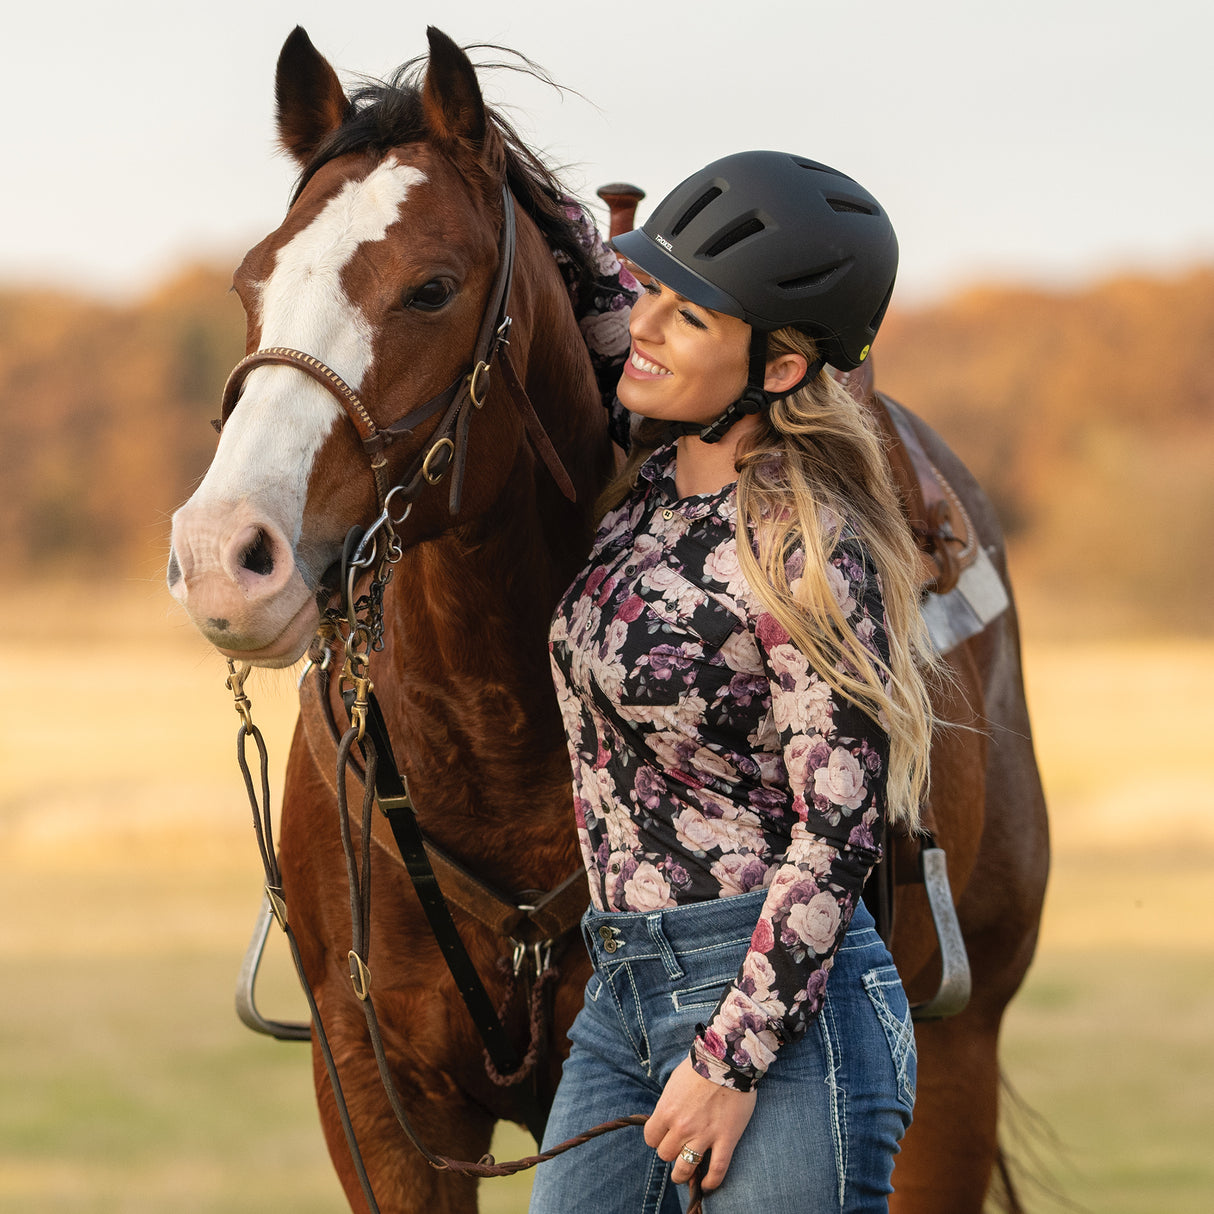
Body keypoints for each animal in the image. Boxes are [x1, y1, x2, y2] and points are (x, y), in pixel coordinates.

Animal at [166, 25, 1049, 1214]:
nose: (224, 557)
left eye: (430, 288)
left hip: (954, 1067)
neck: (495, 742)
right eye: (250, 280)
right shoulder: (379, 1102)